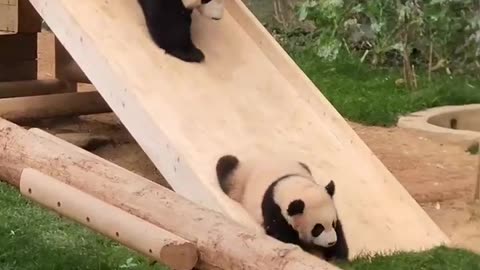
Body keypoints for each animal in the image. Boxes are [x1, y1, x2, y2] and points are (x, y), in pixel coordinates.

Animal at [215, 154, 348, 262]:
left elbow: (340, 234)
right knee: (226, 166)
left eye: (333, 223)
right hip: (239, 180)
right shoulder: (275, 211)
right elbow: (283, 237)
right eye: (317, 229)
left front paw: (337, 257)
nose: (331, 242)